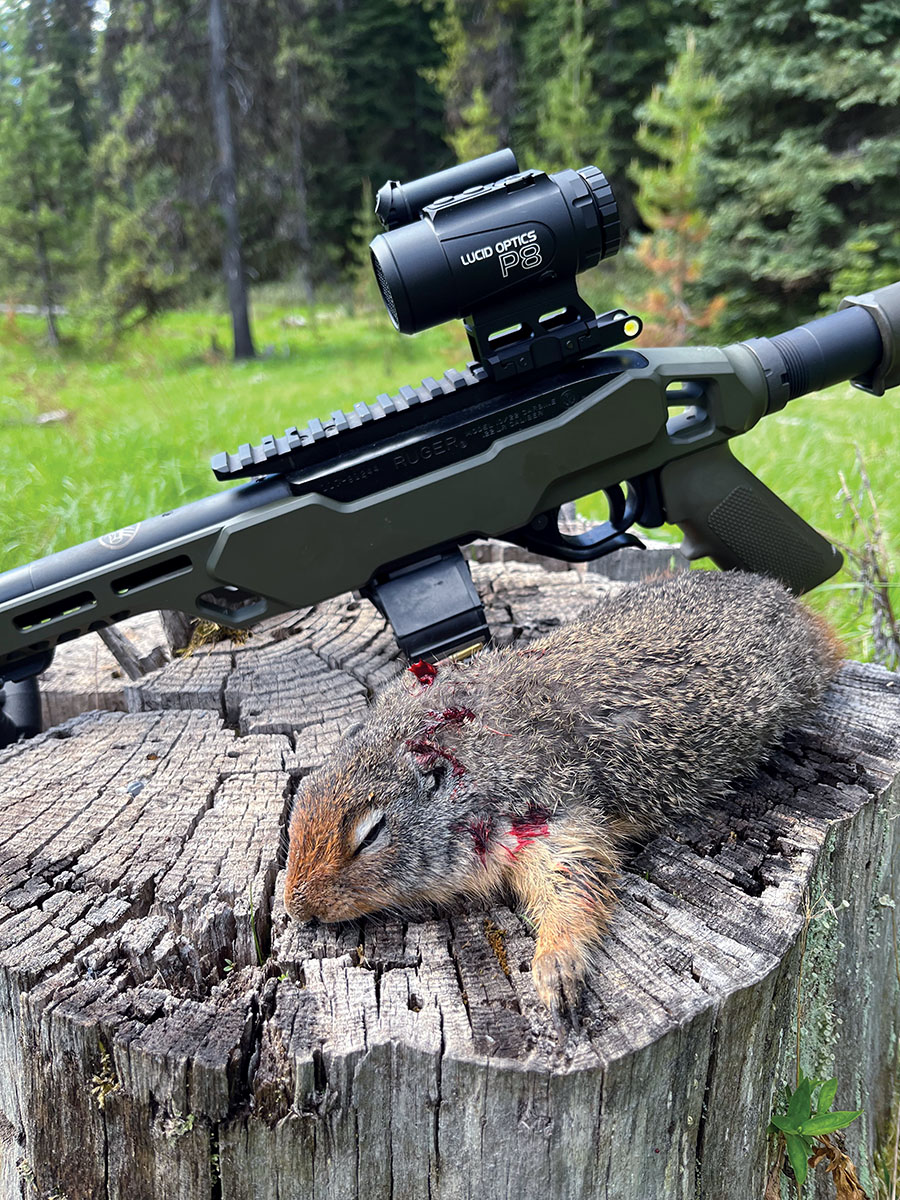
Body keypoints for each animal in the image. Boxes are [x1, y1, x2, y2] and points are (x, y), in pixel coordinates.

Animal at [285, 566, 844, 1017]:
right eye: (301, 795)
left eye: (371, 834)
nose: (298, 911)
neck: (474, 761)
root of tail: (785, 597)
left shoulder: (552, 811)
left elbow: (573, 886)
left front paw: (557, 968)